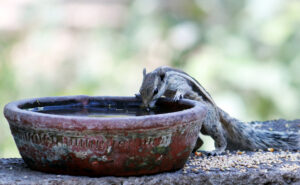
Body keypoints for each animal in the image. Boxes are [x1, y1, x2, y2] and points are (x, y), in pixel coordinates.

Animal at [137, 66, 300, 155]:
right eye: (140, 89)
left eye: (155, 91)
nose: (147, 106)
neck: (165, 77)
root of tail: (217, 111)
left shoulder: (178, 82)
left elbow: (183, 88)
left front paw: (178, 95)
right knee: (201, 140)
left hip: (209, 123)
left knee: (219, 136)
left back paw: (217, 150)